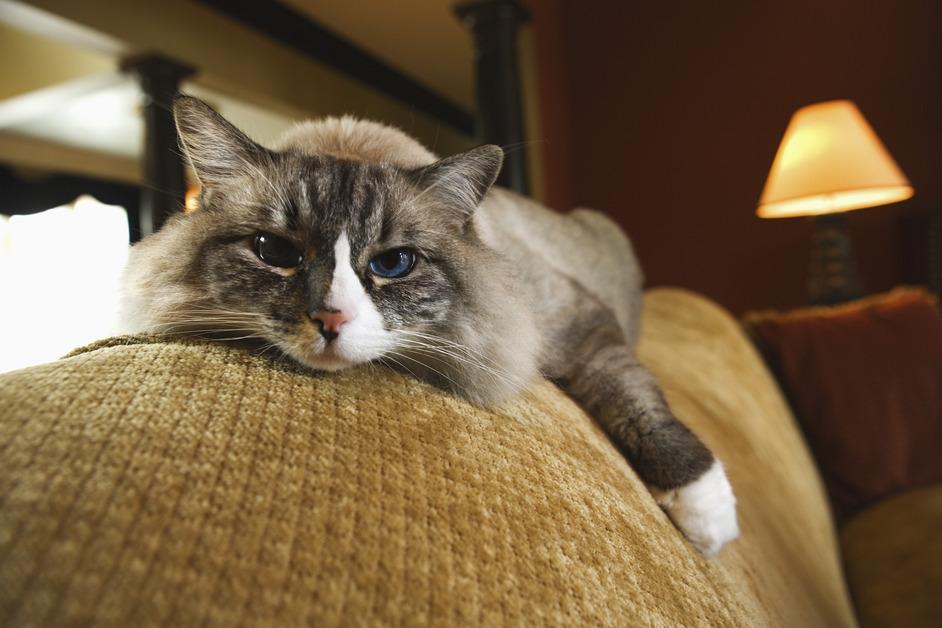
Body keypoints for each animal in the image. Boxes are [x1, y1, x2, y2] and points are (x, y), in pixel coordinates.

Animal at [120, 95, 736, 556]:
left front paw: (707, 512)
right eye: (275, 252)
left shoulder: (582, 323)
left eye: (393, 263)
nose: (330, 317)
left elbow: (637, 402)